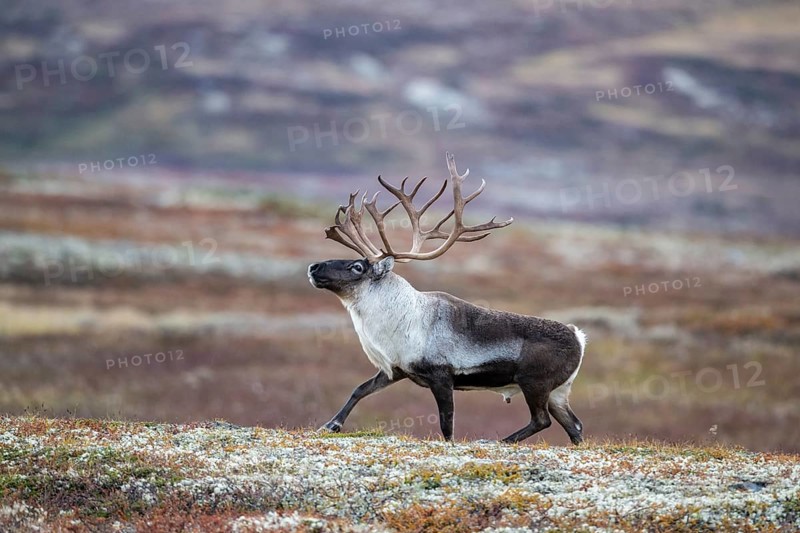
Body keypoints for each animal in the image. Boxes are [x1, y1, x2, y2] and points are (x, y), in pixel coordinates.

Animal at [308, 152, 586, 444]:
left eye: (357, 267)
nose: (313, 267)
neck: (401, 318)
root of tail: (577, 335)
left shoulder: (441, 377)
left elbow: (446, 425)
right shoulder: (395, 370)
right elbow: (359, 389)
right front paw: (330, 424)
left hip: (535, 383)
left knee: (541, 419)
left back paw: (499, 440)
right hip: (557, 392)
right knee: (574, 425)